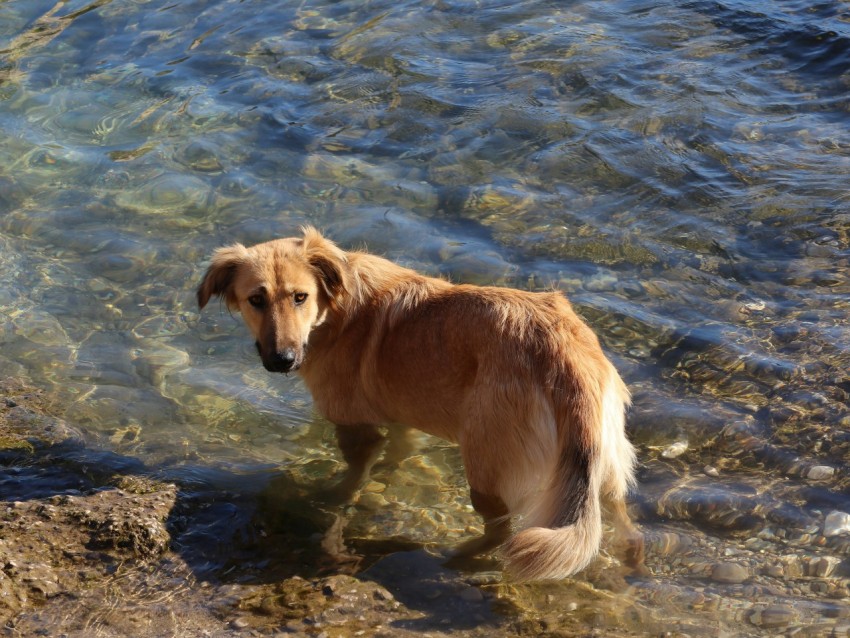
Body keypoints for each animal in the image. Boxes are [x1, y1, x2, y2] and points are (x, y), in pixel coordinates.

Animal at [197, 228, 636, 584]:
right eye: (256, 299)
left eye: (299, 297)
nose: (282, 360)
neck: (334, 310)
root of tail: (564, 352)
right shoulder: (399, 419)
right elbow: (397, 453)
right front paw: (385, 476)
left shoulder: (355, 428)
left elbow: (353, 476)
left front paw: (332, 497)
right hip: (602, 460)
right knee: (620, 516)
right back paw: (632, 558)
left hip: (486, 465)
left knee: (503, 530)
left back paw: (461, 555)